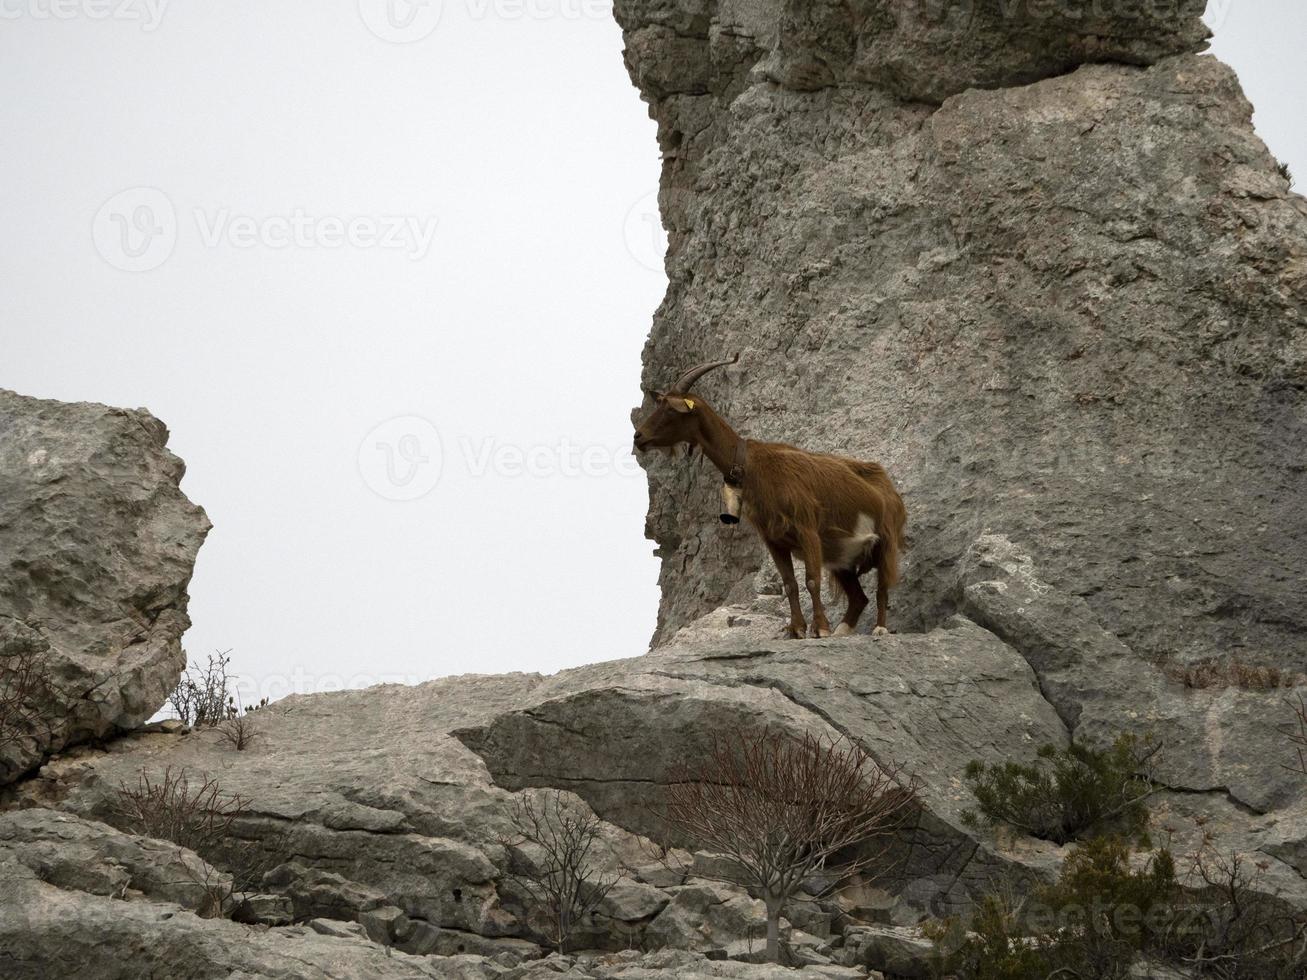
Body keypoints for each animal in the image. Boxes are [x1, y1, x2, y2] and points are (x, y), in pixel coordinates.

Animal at [635, 358, 909, 640]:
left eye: (671, 409)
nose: (639, 437)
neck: (751, 465)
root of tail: (888, 485)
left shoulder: (807, 529)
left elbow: (812, 580)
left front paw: (820, 628)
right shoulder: (774, 540)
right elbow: (790, 584)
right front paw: (796, 629)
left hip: (885, 539)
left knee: (882, 586)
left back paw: (879, 628)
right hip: (841, 554)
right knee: (858, 597)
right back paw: (842, 630)